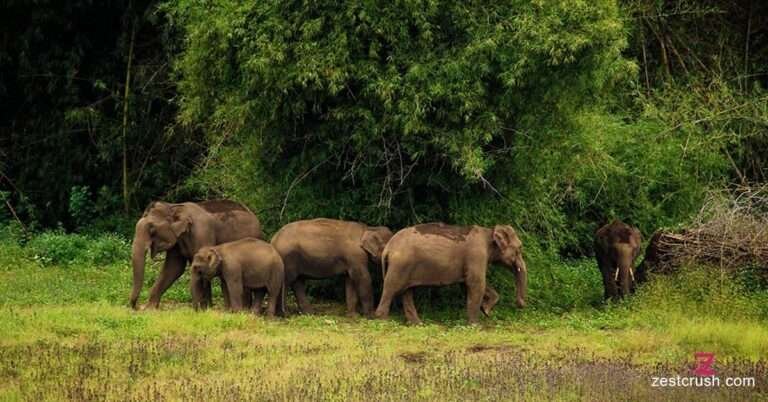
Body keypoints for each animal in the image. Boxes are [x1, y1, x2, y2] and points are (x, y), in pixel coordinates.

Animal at [130, 199, 262, 310]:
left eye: (152, 230)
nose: (136, 307)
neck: (173, 206)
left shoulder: (202, 232)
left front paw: (202, 309)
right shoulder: (177, 240)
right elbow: (173, 268)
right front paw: (150, 308)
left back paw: (244, 308)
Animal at [374, 223, 528, 325]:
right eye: (520, 248)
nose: (521, 304)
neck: (489, 231)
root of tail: (388, 247)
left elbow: (466, 284)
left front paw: (486, 310)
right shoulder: (476, 255)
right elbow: (476, 283)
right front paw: (476, 324)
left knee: (407, 291)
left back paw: (418, 324)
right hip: (399, 266)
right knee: (391, 289)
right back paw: (383, 320)